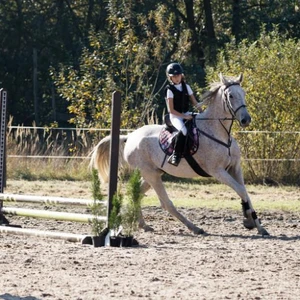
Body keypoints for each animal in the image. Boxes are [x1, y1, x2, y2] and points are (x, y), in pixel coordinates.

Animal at [89, 74, 270, 236]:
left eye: (243, 93)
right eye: (231, 95)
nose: (246, 120)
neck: (219, 132)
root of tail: (129, 136)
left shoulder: (235, 168)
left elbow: (244, 192)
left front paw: (256, 224)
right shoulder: (218, 171)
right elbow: (241, 190)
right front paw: (249, 220)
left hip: (153, 173)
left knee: (137, 193)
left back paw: (144, 225)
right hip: (150, 174)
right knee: (166, 203)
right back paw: (195, 228)